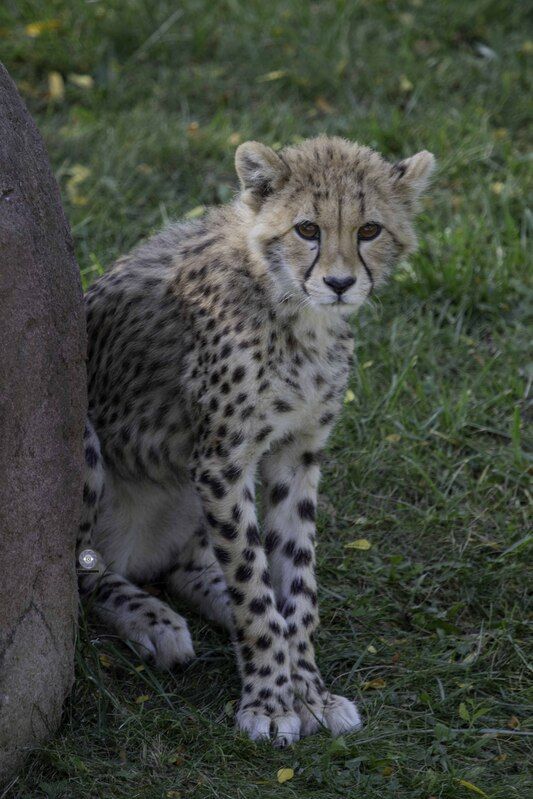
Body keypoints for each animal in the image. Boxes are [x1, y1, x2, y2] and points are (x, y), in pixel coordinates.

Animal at [78, 135, 435, 746]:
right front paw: (269, 700)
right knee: (86, 571)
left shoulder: (298, 452)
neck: (291, 306)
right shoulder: (222, 461)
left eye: (369, 230)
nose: (340, 283)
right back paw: (154, 620)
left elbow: (295, 581)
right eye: (307, 229)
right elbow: (253, 585)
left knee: (186, 568)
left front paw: (308, 688)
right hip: (85, 441)